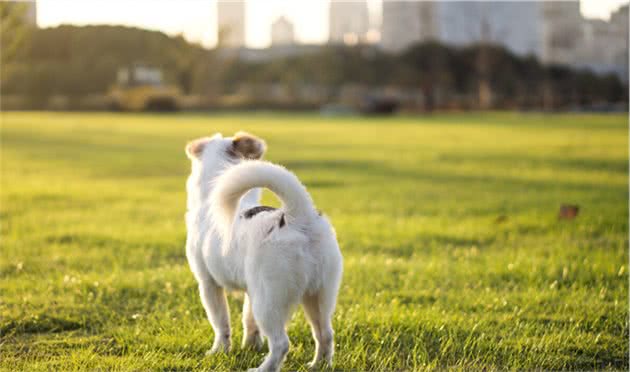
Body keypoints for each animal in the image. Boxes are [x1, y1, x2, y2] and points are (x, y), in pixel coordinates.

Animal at [185, 132, 344, 370]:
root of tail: (299, 217)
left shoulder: (208, 284)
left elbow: (221, 324)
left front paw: (218, 351)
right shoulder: (251, 290)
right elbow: (248, 320)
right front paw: (251, 346)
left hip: (270, 301)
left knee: (281, 343)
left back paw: (263, 368)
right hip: (318, 295)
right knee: (325, 334)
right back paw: (318, 365)